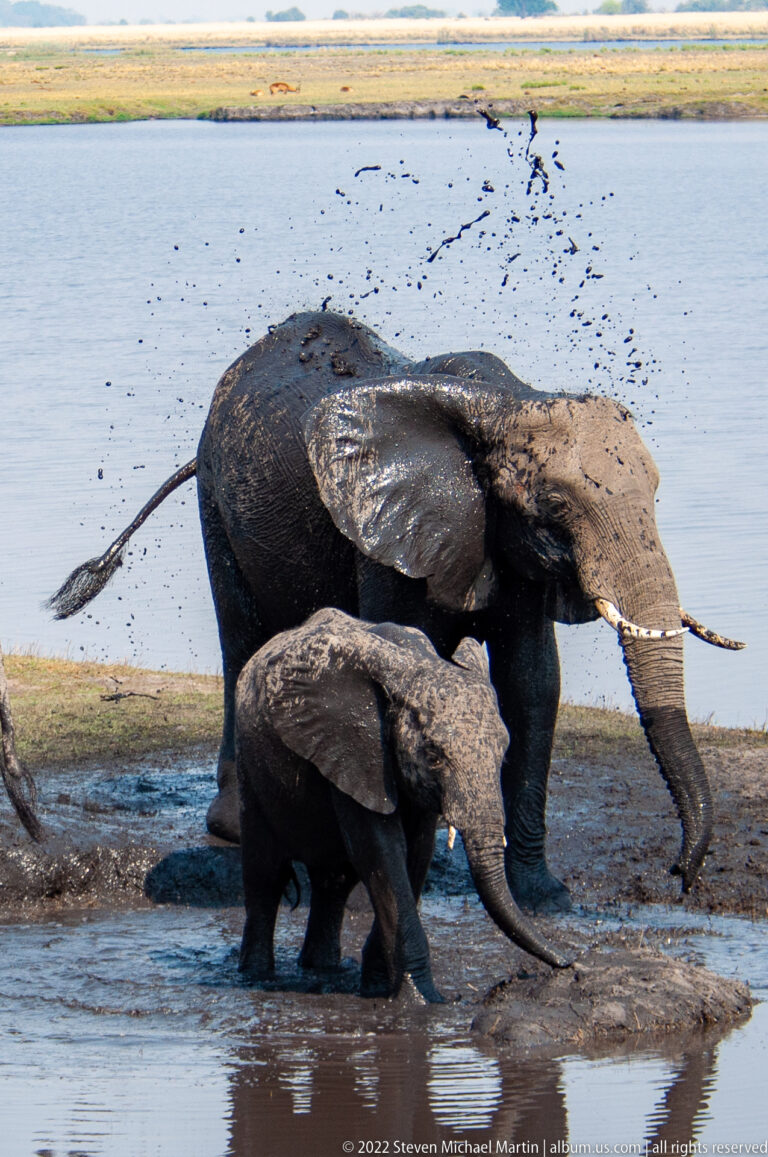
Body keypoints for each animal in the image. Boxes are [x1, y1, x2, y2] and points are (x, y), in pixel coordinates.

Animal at [48, 310, 743, 913]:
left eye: (656, 493)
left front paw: (544, 898)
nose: (682, 874)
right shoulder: (386, 540)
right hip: (218, 501)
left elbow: (533, 684)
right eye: (552, 506)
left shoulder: (504, 541)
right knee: (240, 635)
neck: (510, 399)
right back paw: (236, 826)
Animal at [234, 607, 570, 1000]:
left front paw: (382, 985)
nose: (567, 964)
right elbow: (380, 850)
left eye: (503, 752)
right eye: (434, 756)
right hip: (251, 765)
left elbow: (416, 853)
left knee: (333, 882)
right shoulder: (355, 749)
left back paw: (322, 969)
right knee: (265, 873)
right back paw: (256, 976)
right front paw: (422, 1000)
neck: (415, 668)